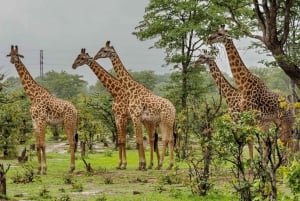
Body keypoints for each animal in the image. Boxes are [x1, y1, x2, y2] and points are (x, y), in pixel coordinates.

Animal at [6, 45, 78, 174]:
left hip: (68, 123)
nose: (12, 60)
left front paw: (44, 169)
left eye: (17, 55)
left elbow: (43, 144)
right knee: (73, 142)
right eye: (10, 54)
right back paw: (71, 168)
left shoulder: (42, 121)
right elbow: (38, 144)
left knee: (71, 142)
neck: (33, 96)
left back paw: (70, 169)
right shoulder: (34, 121)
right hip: (72, 123)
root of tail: (75, 110)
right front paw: (39, 169)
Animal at [95, 40, 177, 170]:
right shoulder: (133, 117)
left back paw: (164, 165)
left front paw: (140, 165)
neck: (131, 88)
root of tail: (174, 109)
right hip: (163, 122)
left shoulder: (133, 116)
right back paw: (162, 165)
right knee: (165, 139)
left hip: (166, 121)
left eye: (105, 50)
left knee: (168, 139)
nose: (95, 56)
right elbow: (134, 140)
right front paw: (141, 165)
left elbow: (137, 140)